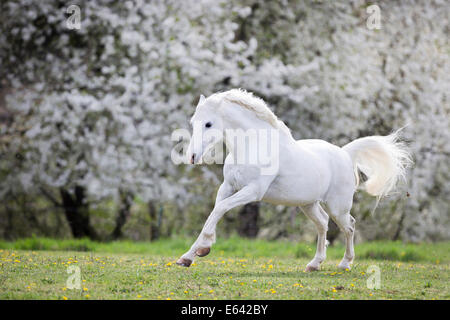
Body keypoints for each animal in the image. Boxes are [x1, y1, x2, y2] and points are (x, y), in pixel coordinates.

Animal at [177, 89, 412, 272]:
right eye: (193, 122)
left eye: (208, 124)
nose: (192, 157)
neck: (253, 146)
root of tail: (345, 154)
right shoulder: (228, 187)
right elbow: (215, 212)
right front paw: (188, 256)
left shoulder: (253, 191)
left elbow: (220, 209)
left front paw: (204, 247)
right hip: (308, 204)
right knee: (323, 223)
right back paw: (314, 264)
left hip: (338, 207)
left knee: (349, 226)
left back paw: (345, 264)